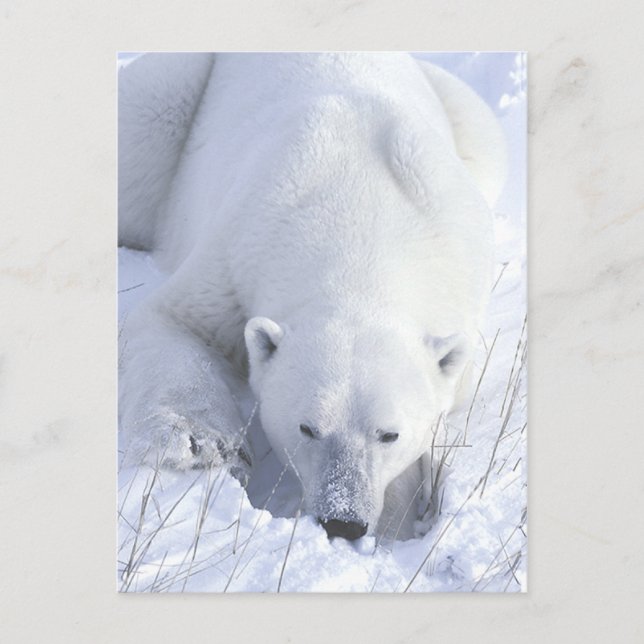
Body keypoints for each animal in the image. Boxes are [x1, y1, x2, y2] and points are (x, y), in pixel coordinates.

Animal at [118, 52, 506, 541]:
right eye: (307, 428)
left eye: (389, 434)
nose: (342, 521)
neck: (362, 225)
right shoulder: (240, 248)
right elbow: (175, 320)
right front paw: (199, 442)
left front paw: (398, 520)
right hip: (181, 91)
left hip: (467, 117)